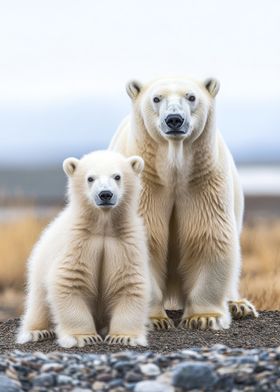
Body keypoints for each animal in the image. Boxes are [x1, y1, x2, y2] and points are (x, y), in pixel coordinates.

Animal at [16, 149, 150, 346]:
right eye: (90, 178)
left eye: (117, 176)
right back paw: (37, 332)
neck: (103, 224)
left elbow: (129, 282)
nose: (105, 194)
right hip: (40, 264)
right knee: (38, 301)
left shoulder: (126, 242)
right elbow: (68, 280)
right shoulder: (77, 241)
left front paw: (123, 337)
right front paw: (84, 336)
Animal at [108, 76, 258, 330]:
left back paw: (239, 306)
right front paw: (153, 320)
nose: (174, 119)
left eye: (191, 96)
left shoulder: (203, 180)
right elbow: (145, 240)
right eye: (156, 98)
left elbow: (208, 235)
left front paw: (205, 317)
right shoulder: (144, 182)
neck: (174, 168)